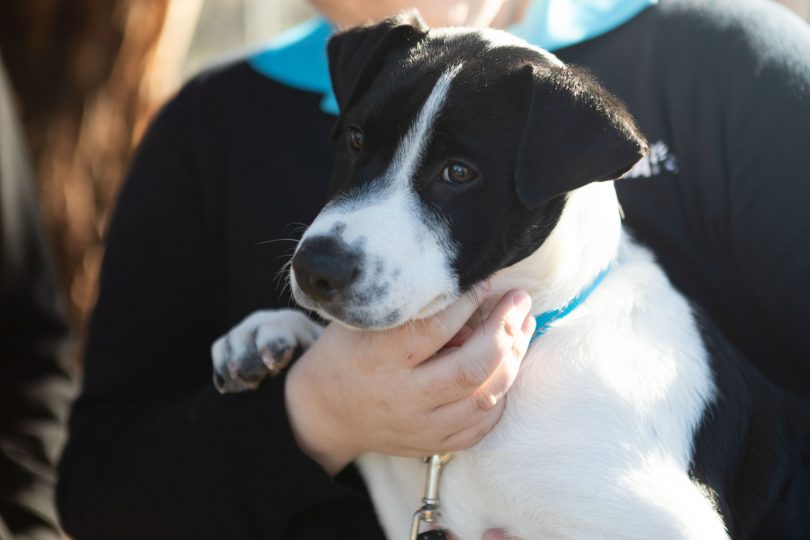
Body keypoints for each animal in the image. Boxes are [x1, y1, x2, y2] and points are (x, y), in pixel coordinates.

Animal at [211, 12, 804, 540]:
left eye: (458, 173)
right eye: (356, 139)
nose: (315, 270)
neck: (540, 326)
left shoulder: (666, 524)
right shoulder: (411, 498)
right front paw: (267, 330)